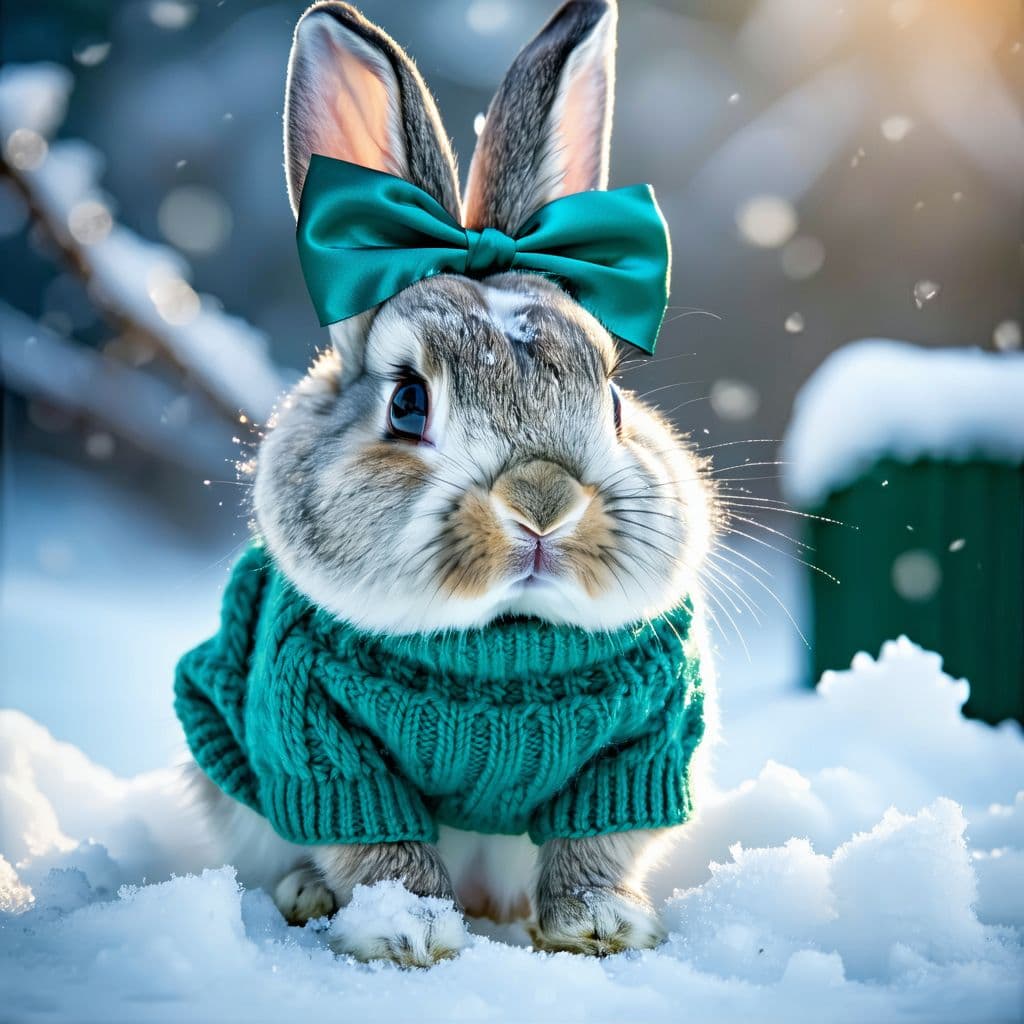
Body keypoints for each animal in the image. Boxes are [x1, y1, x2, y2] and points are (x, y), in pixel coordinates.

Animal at [190, 0, 719, 967]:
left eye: (614, 400)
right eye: (408, 403)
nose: (543, 504)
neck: (501, 644)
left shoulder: (646, 744)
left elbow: (601, 837)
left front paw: (599, 928)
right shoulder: (319, 743)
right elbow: (376, 842)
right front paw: (408, 934)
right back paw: (306, 897)